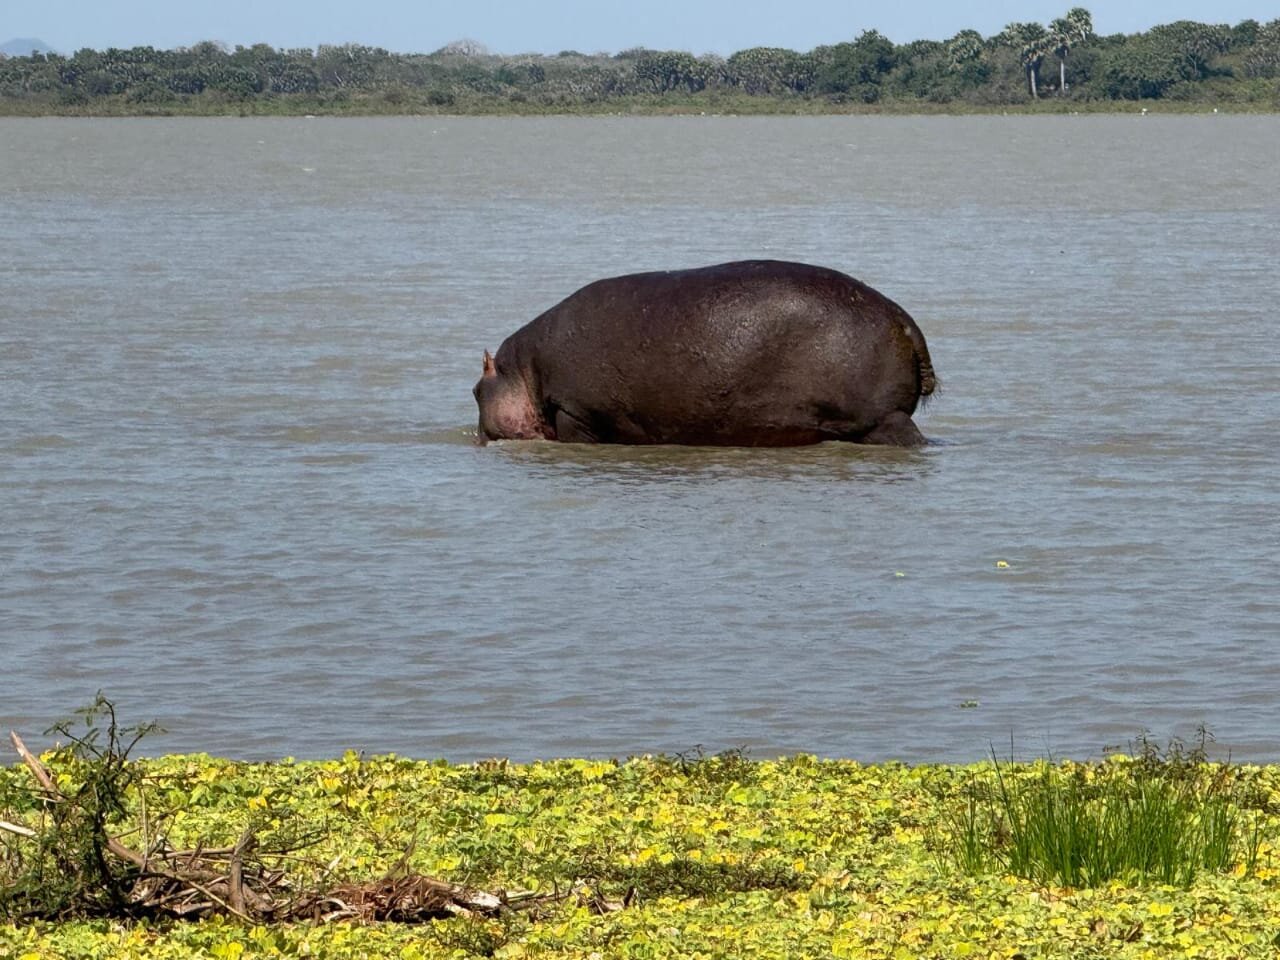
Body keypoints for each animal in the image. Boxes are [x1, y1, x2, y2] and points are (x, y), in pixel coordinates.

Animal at [473, 259, 936, 447]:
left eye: (475, 391)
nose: (475, 436)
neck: (524, 373)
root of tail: (903, 319)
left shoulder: (575, 411)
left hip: (882, 419)